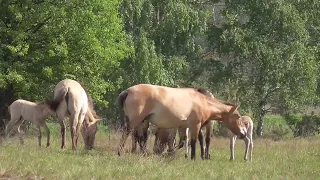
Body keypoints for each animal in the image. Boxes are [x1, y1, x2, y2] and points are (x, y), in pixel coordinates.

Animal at [116, 83, 246, 160]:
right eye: (238, 116)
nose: (243, 134)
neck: (202, 101)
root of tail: (127, 91)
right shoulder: (195, 126)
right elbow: (193, 142)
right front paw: (193, 158)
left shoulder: (183, 126)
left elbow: (182, 142)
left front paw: (168, 154)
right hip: (135, 121)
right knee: (128, 134)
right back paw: (120, 153)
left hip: (140, 122)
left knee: (139, 137)